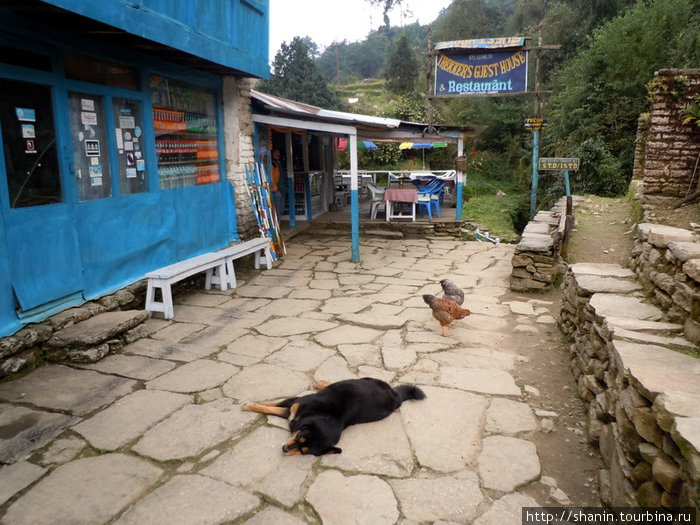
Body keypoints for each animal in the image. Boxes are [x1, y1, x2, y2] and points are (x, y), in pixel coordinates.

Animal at [241, 376, 426, 454]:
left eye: (303, 451)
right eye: (299, 437)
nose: (285, 449)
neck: (323, 414)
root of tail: (394, 396)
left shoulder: (291, 411)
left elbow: (272, 408)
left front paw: (252, 405)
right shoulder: (294, 403)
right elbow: (271, 405)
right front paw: (251, 405)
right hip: (361, 379)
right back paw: (322, 383)